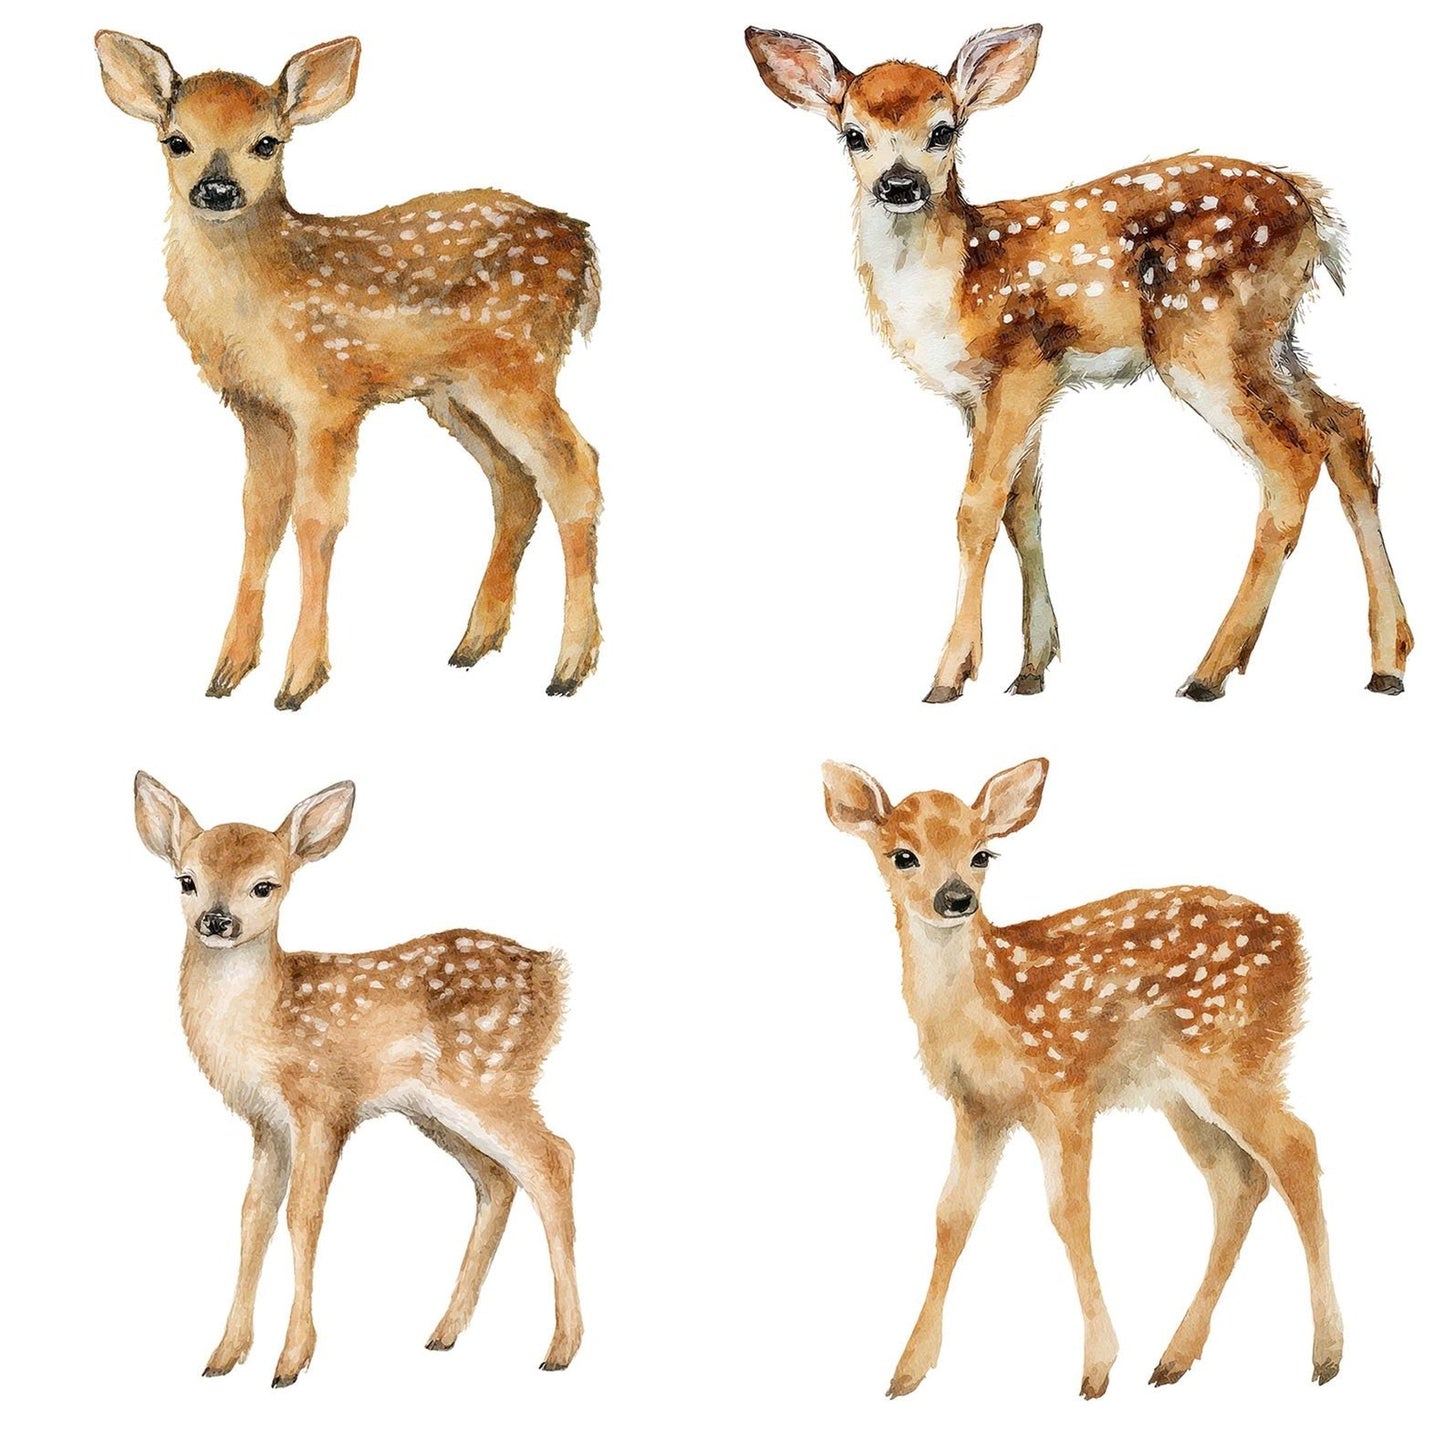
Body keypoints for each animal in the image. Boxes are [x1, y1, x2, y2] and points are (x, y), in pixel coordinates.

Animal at [97, 33, 602, 710]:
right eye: (176, 140)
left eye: (268, 141)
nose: (218, 190)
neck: (262, 298)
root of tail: (584, 246)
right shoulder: (258, 408)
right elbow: (259, 517)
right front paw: (227, 672)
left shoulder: (328, 396)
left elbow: (315, 521)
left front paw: (299, 680)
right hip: (454, 392)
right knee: (515, 484)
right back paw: (473, 644)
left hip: (518, 364)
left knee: (575, 468)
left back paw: (569, 667)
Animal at [133, 772, 580, 1386]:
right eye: (187, 880)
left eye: (264, 886)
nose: (217, 921)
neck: (267, 1017)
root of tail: (552, 972)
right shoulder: (267, 1122)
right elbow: (253, 1217)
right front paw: (224, 1355)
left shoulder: (321, 1103)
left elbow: (303, 1215)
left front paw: (291, 1360)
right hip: (435, 1110)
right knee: (498, 1180)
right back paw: (444, 1333)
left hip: (488, 1077)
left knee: (553, 1160)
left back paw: (561, 1348)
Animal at [748, 23, 1411, 702]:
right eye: (853, 133)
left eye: (944, 130)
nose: (900, 184)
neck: (958, 285)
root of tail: (1309, 204)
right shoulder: (988, 394)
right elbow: (1024, 509)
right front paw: (1031, 667)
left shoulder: (1021, 365)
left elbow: (976, 509)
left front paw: (949, 676)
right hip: (1270, 339)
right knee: (1345, 425)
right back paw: (1387, 663)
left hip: (1202, 336)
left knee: (1293, 454)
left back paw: (1208, 672)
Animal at [821, 757, 1342, 1399]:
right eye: (902, 855)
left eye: (982, 853)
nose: (956, 898)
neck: (989, 1011)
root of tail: (1293, 934)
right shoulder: (979, 1107)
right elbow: (951, 1216)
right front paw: (908, 1369)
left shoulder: (1065, 1085)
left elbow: (1070, 1212)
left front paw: (1097, 1367)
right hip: (1180, 1094)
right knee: (1238, 1182)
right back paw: (1174, 1358)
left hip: (1234, 1057)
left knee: (1296, 1149)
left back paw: (1326, 1354)